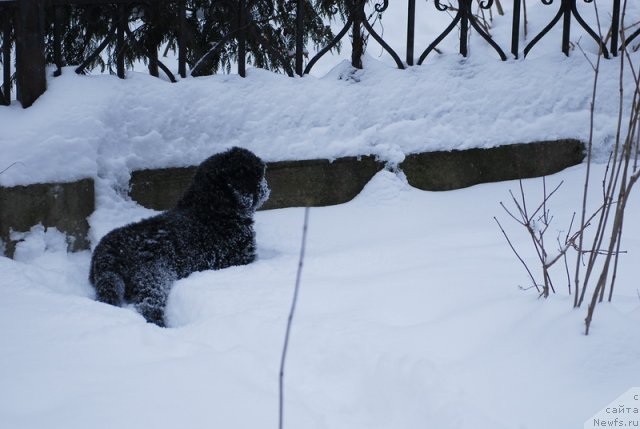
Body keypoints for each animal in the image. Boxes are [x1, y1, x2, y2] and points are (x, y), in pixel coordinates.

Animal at [89, 146, 268, 324]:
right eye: (257, 175)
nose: (265, 189)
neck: (213, 207)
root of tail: (108, 252)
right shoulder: (240, 258)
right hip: (154, 275)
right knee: (148, 306)